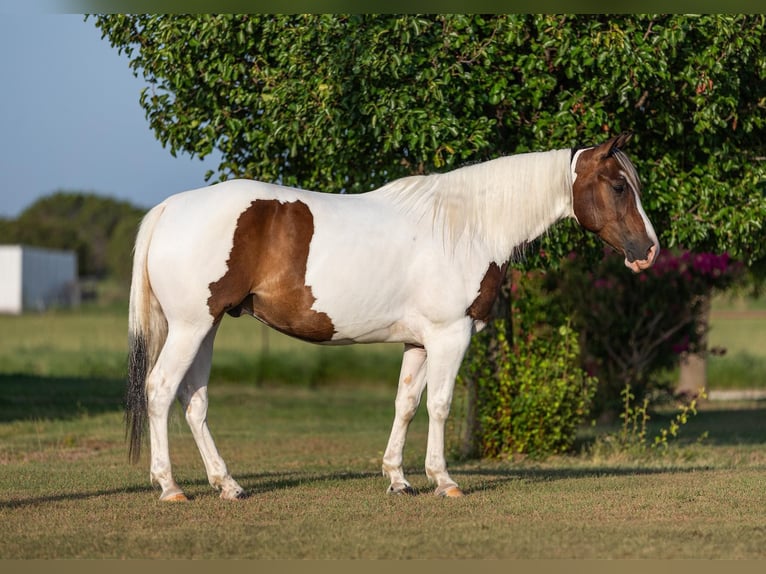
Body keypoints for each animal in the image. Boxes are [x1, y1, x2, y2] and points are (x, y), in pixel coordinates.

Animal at [126, 132, 659, 501]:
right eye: (617, 186)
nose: (649, 251)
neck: (466, 226)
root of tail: (169, 208)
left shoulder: (419, 342)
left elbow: (406, 404)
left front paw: (398, 479)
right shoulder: (450, 336)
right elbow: (440, 404)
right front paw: (444, 480)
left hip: (207, 327)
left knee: (193, 401)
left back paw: (228, 484)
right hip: (192, 327)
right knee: (160, 390)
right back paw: (170, 486)